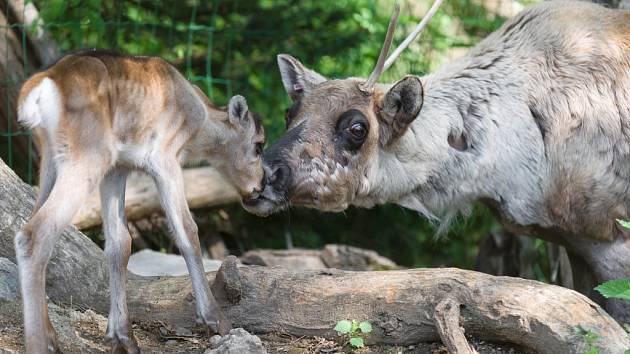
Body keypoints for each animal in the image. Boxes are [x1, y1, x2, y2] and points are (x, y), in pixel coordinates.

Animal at [14, 50, 266, 354]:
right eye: (259, 144)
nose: (260, 186)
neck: (198, 125)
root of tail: (40, 88)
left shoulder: (118, 168)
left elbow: (120, 242)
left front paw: (122, 337)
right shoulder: (164, 157)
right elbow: (187, 230)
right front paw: (215, 320)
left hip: (51, 158)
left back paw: (52, 336)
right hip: (89, 155)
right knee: (33, 234)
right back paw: (38, 343)